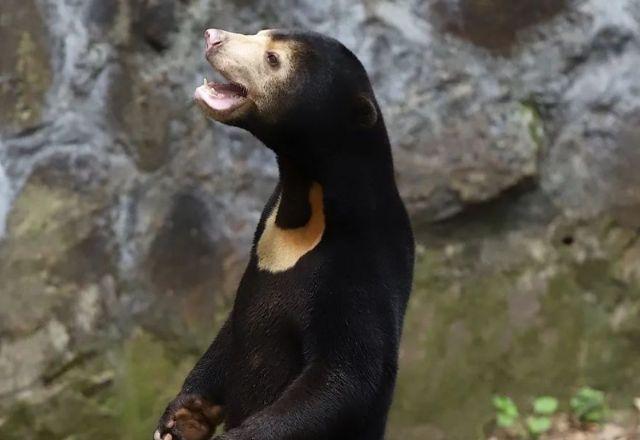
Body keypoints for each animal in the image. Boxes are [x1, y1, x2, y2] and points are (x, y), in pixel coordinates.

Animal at [154, 28, 415, 440]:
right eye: (261, 33)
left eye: (273, 59)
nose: (212, 36)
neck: (306, 201)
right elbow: (230, 331)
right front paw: (184, 416)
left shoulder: (361, 269)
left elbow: (345, 376)